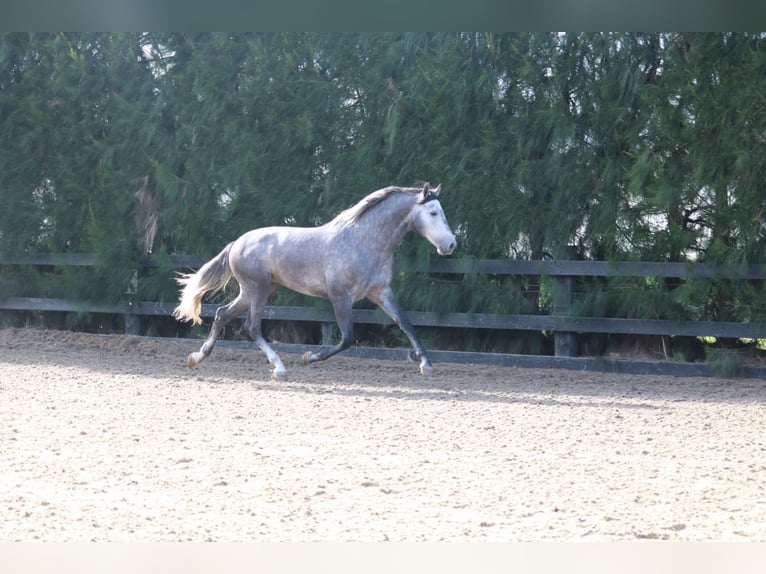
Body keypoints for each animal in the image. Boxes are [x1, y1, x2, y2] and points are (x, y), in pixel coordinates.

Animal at [174, 183, 456, 378]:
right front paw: (308, 358)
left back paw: (196, 358)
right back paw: (279, 369)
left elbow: (406, 324)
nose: (451, 244)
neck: (364, 241)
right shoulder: (341, 297)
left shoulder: (381, 292)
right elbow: (347, 339)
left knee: (222, 314)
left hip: (254, 290)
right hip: (258, 289)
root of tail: (237, 243)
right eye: (433, 212)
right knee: (252, 327)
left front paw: (426, 365)